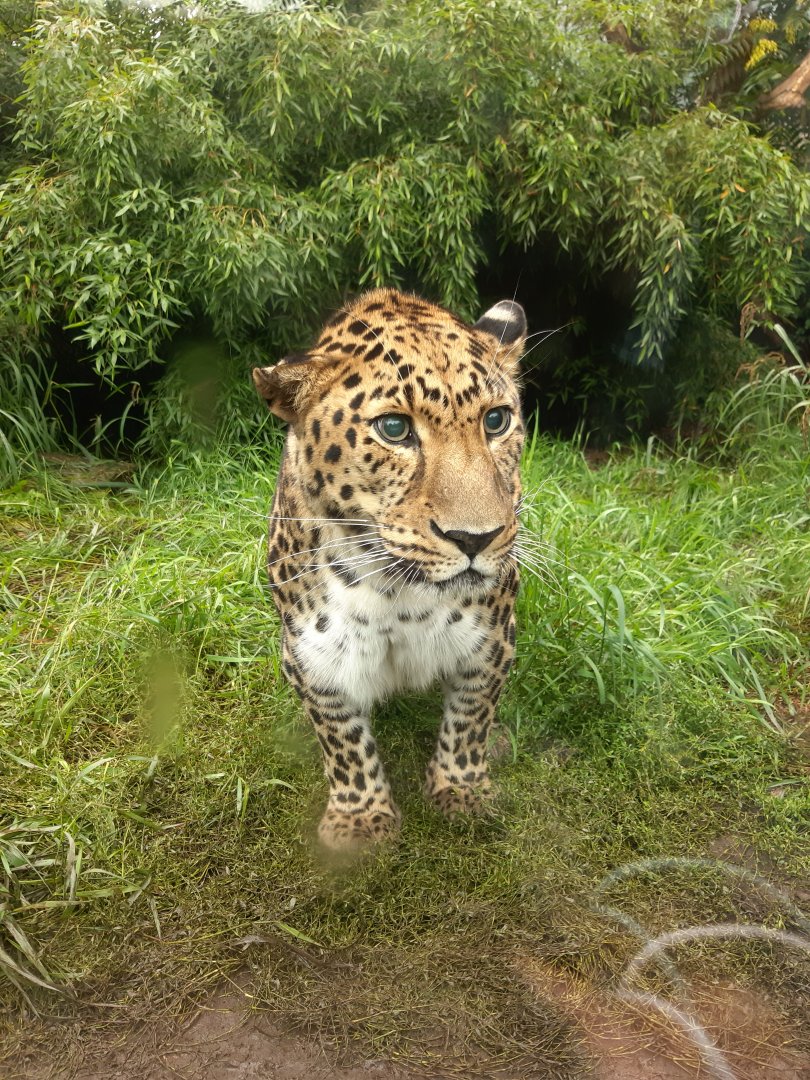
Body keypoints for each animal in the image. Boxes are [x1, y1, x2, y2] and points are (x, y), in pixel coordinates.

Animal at [252, 288, 527, 852]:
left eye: (496, 420)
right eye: (394, 429)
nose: (476, 538)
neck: (400, 594)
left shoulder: (494, 638)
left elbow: (472, 717)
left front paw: (463, 791)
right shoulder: (311, 657)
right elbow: (342, 742)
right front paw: (359, 819)